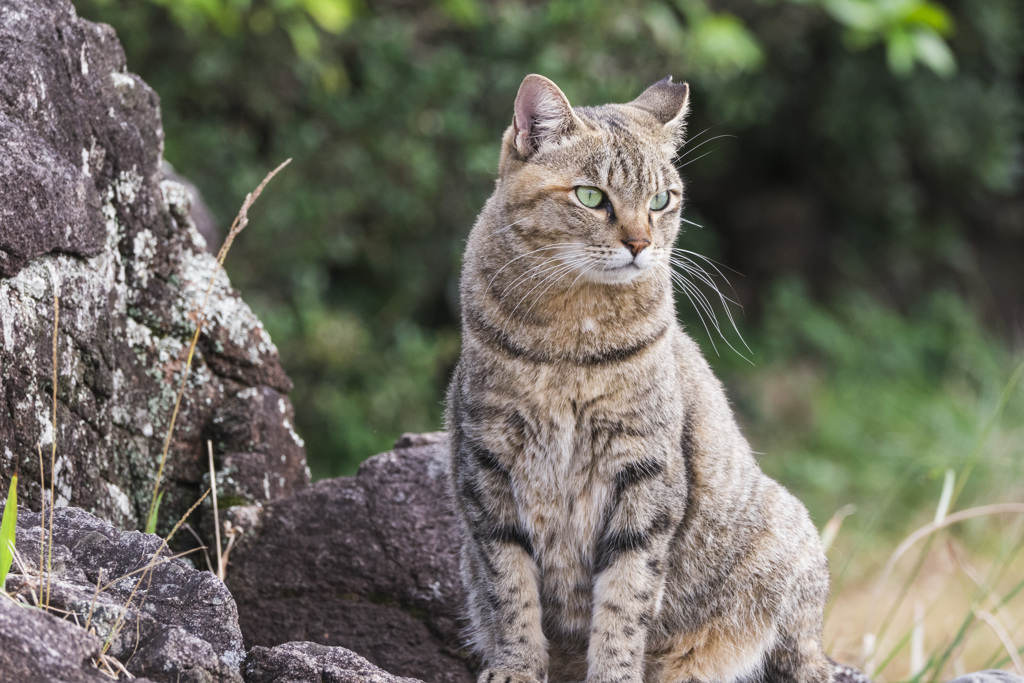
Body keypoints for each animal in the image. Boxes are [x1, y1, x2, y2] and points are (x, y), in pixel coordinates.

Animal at [448, 74, 831, 683]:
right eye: (591, 197)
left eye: (660, 200)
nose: (639, 244)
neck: (571, 337)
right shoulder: (486, 467)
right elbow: (510, 590)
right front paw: (517, 667)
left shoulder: (645, 473)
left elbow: (626, 598)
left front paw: (613, 672)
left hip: (788, 549)